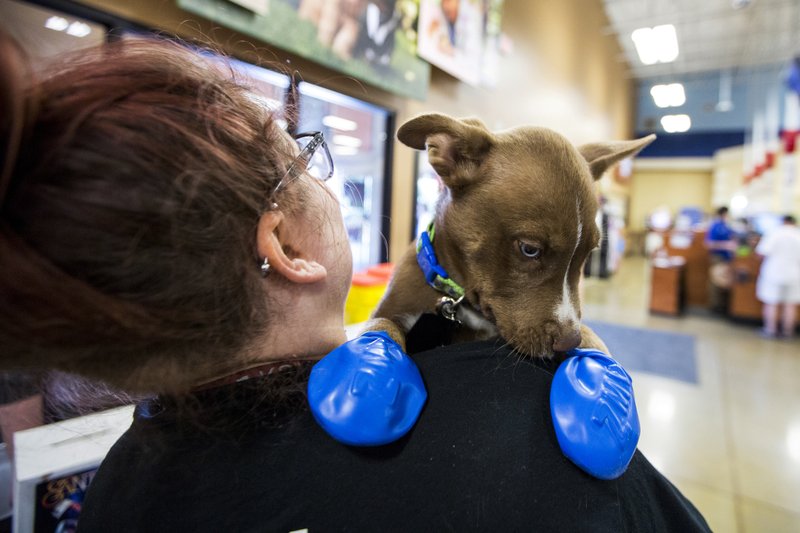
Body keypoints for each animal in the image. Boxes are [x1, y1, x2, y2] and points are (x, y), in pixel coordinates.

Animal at [366, 114, 652, 360]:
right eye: (529, 249)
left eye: (589, 252)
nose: (569, 342)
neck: (460, 305)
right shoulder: (392, 310)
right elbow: (381, 326)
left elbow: (593, 337)